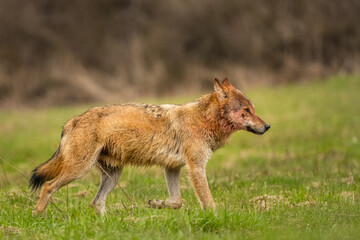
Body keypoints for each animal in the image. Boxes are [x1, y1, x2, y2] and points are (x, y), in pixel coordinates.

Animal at [28, 79, 270, 216]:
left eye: (253, 109)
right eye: (246, 110)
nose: (267, 126)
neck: (203, 120)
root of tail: (75, 119)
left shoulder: (172, 168)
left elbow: (177, 202)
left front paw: (156, 204)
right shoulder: (195, 168)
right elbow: (208, 202)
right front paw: (216, 217)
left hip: (113, 176)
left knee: (96, 203)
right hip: (79, 170)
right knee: (48, 186)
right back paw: (37, 215)